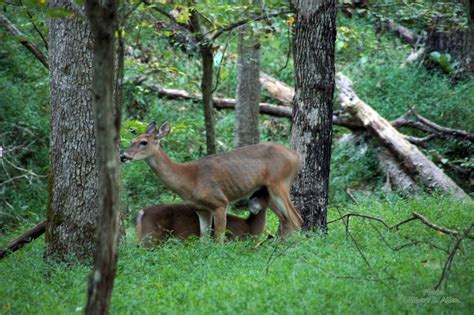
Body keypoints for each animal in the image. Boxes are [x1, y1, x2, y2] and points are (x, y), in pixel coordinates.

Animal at [137, 188, 270, 247]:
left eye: (263, 195)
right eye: (252, 196)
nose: (252, 207)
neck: (250, 227)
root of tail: (142, 213)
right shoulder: (234, 238)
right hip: (152, 236)